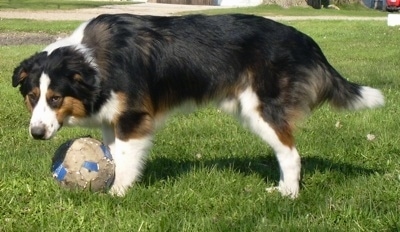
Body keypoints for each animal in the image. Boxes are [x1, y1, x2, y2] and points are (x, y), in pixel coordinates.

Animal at [11, 13, 384, 198]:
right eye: (32, 97)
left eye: (55, 98)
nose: (36, 133)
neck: (91, 65)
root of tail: (304, 39)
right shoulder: (111, 120)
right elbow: (112, 157)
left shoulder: (134, 118)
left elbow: (126, 161)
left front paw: (117, 193)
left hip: (261, 108)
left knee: (290, 153)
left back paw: (288, 195)